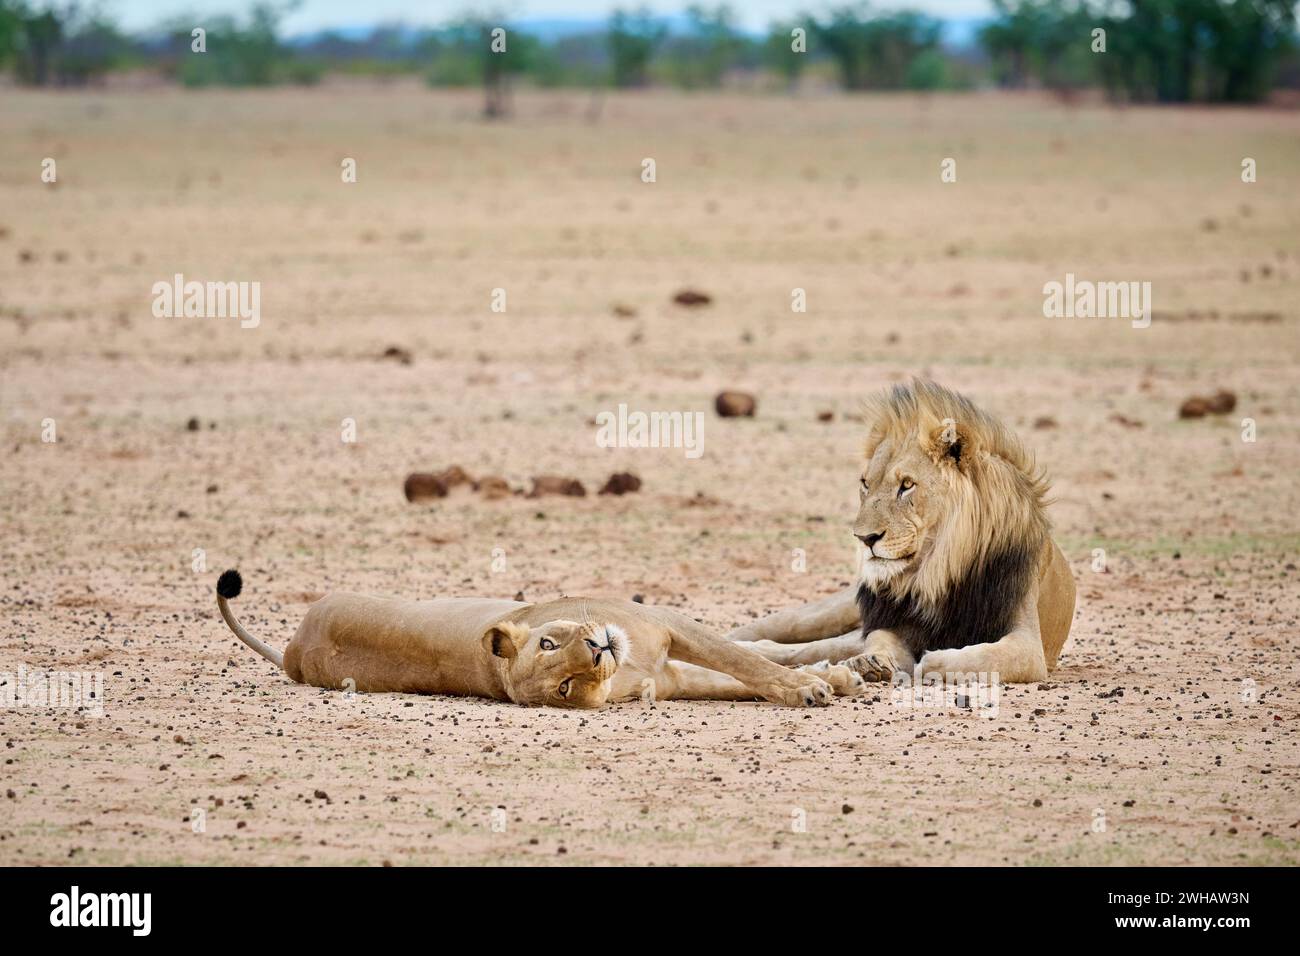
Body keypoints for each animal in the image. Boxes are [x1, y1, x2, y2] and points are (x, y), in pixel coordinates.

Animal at [725, 380, 1076, 684]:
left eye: (906, 485)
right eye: (866, 484)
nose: (865, 539)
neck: (937, 569)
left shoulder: (1029, 644)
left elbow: (986, 657)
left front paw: (934, 660)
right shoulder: (890, 620)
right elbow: (878, 639)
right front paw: (874, 662)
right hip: (834, 611)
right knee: (796, 633)